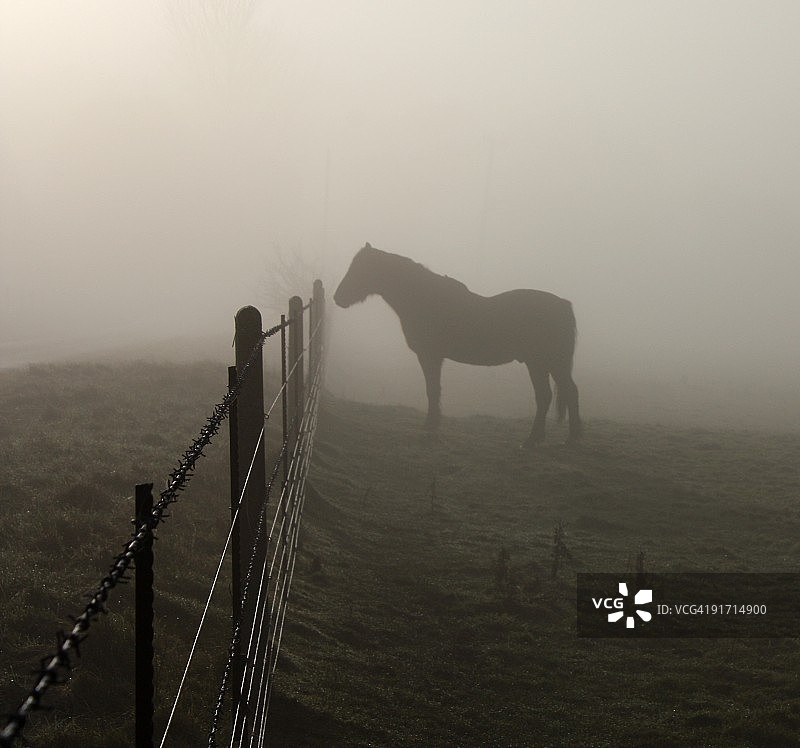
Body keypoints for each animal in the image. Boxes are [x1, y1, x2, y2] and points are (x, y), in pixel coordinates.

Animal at [333, 243, 582, 446]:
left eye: (360, 269)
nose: (338, 298)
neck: (423, 299)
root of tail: (563, 304)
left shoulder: (429, 356)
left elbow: (432, 390)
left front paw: (430, 425)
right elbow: (434, 389)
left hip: (544, 362)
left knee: (559, 393)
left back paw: (552, 439)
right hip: (542, 363)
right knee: (552, 395)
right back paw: (546, 437)